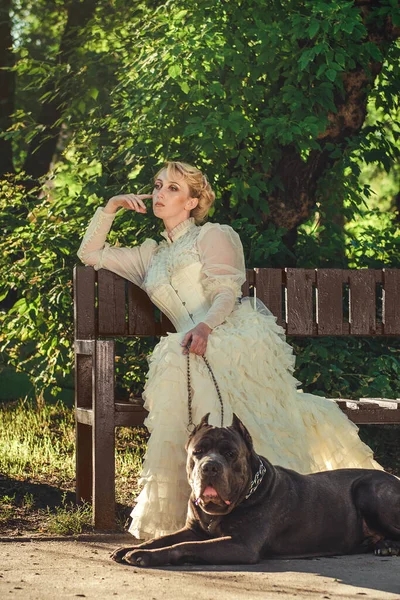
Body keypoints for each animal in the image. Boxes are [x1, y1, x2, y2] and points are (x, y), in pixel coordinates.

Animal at [111, 412, 400, 568]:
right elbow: (162, 538)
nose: (210, 467)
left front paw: (144, 556)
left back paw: (387, 546)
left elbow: (185, 545)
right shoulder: (192, 528)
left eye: (230, 453)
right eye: (198, 452)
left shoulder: (241, 545)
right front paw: (131, 549)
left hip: (369, 489)